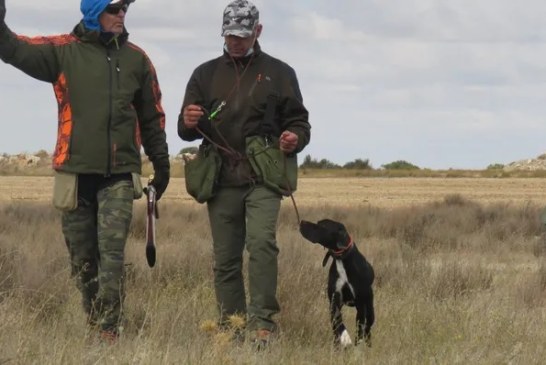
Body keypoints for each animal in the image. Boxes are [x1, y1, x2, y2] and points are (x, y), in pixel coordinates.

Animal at [298, 218, 374, 346]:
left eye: (322, 226)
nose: (302, 221)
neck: (342, 259)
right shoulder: (334, 301)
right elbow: (338, 323)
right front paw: (345, 339)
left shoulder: (361, 304)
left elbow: (360, 328)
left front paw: (357, 344)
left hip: (369, 309)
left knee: (367, 328)